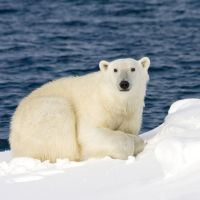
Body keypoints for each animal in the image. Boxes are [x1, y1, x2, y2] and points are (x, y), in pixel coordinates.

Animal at [9, 57, 150, 162]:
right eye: (115, 70)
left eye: (133, 69)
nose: (124, 83)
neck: (114, 101)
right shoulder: (95, 108)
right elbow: (88, 133)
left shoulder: (131, 113)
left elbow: (130, 130)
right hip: (44, 115)